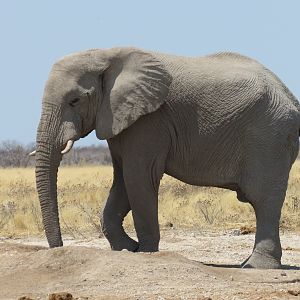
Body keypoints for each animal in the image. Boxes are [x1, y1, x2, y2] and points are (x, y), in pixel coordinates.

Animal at [31, 47, 300, 270]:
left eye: (74, 100)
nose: (59, 249)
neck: (105, 54)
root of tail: (291, 97)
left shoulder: (150, 121)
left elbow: (139, 177)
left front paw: (145, 252)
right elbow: (122, 180)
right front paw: (128, 249)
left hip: (269, 138)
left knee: (264, 199)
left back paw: (256, 266)